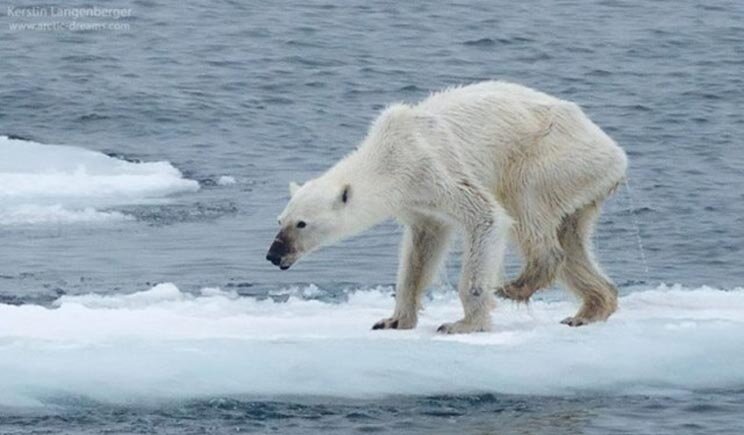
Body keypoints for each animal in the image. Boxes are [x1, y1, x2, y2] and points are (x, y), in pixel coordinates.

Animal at [266, 81, 627, 333]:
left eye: (301, 224)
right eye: (280, 220)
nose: (273, 254)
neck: (389, 156)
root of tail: (616, 153)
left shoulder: (433, 168)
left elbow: (486, 217)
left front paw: (463, 324)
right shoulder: (417, 202)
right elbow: (421, 251)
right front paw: (393, 320)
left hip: (554, 157)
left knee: (526, 203)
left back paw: (516, 285)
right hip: (582, 184)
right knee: (572, 239)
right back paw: (590, 309)